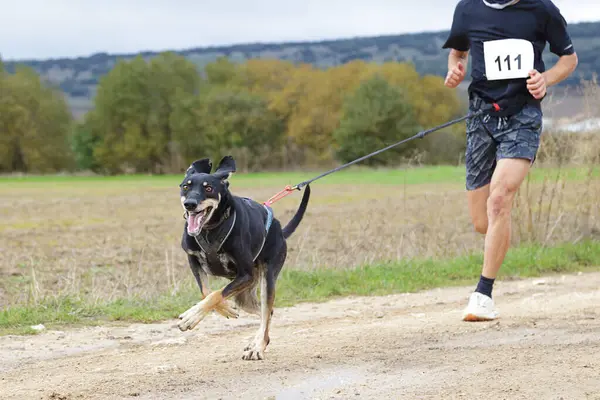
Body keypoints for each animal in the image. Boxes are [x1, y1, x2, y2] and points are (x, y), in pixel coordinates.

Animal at [176, 155, 312, 360]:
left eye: (208, 188)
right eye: (186, 186)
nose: (190, 204)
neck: (210, 229)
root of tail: (280, 230)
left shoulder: (245, 274)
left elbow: (216, 293)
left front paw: (192, 316)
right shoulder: (194, 261)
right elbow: (207, 292)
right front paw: (225, 308)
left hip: (266, 278)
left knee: (266, 311)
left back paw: (258, 346)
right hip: (244, 295)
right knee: (268, 312)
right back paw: (256, 341)